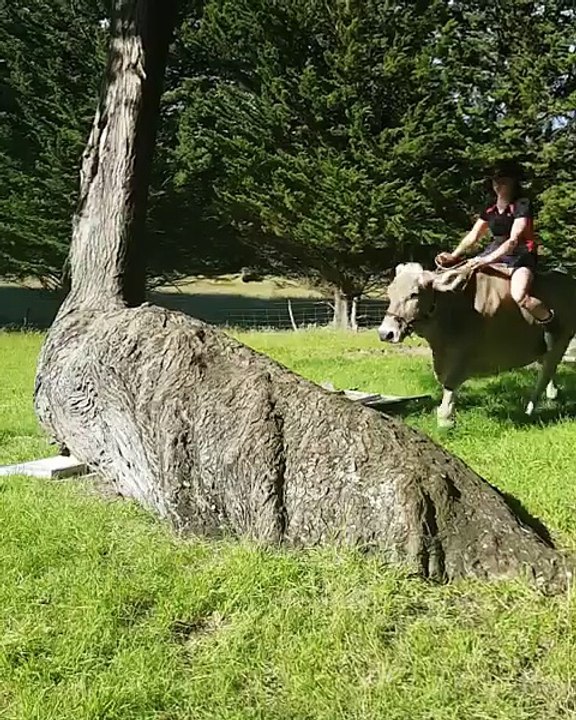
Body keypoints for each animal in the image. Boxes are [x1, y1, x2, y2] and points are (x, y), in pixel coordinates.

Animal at [377, 262, 576, 426]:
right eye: (389, 292)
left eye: (414, 294)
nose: (385, 333)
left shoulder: (464, 354)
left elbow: (450, 385)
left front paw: (445, 419)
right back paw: (552, 394)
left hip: (562, 341)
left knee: (545, 373)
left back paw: (530, 409)